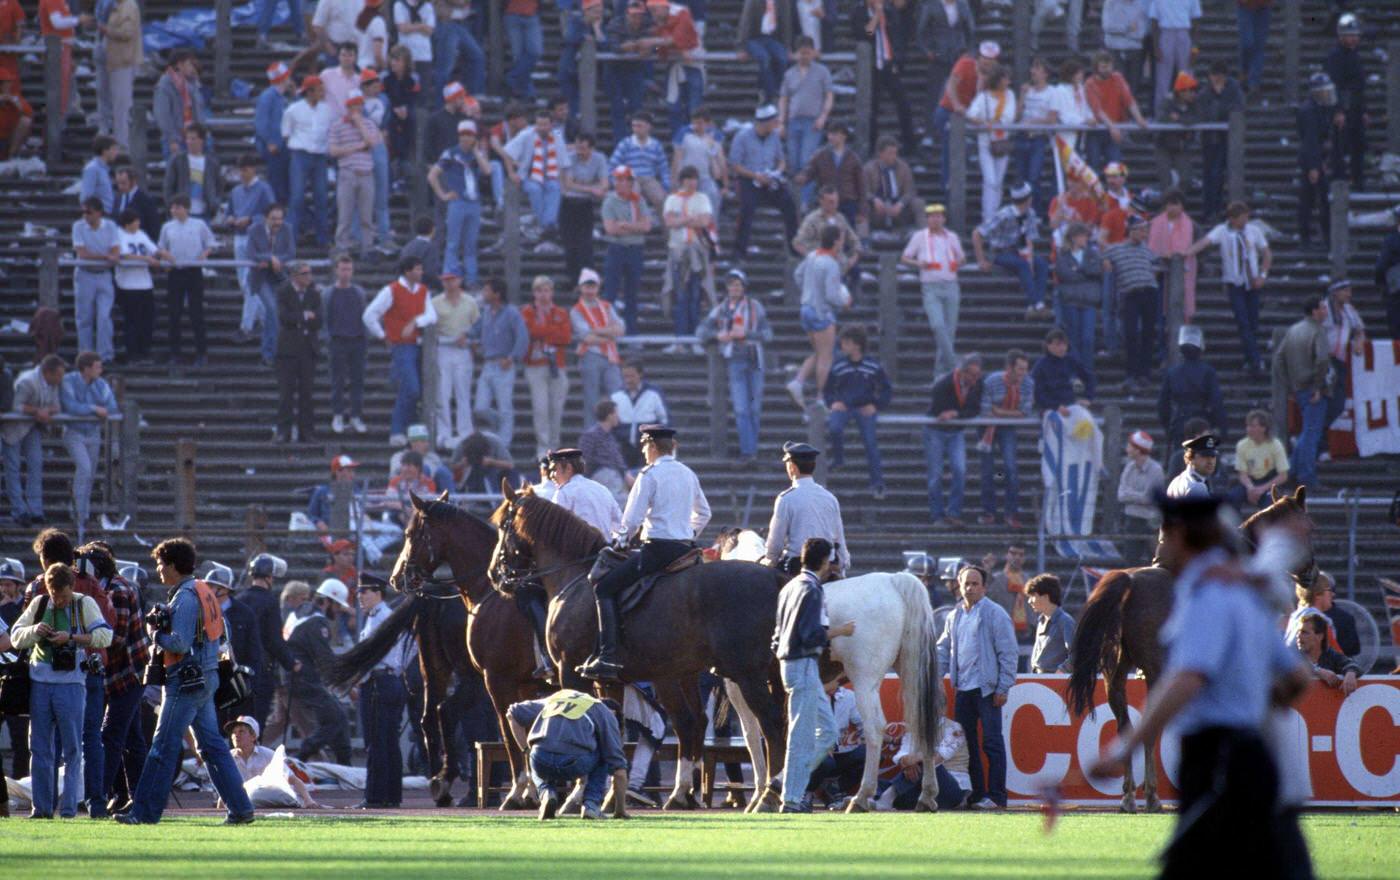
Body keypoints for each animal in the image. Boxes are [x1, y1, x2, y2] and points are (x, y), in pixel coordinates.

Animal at [330, 489, 543, 805]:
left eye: (409, 533)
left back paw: (440, 783)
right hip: (473, 677)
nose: (396, 577)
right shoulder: (499, 677)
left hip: (436, 667)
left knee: (430, 716)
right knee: (448, 712)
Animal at [490, 481, 789, 811]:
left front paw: (577, 796)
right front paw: (608, 795)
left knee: (768, 724)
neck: (575, 579)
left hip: (745, 675)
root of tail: (775, 576)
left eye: (503, 525)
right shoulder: (608, 681)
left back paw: (769, 793)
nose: (494, 574)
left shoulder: (570, 672)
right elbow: (612, 729)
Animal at [1064, 486, 1316, 811]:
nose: (1311, 574)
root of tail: (1129, 580)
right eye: (1310, 527)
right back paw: (1152, 796)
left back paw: (1129, 796)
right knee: (1149, 726)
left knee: (1126, 726)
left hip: (1115, 672)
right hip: (1155, 670)